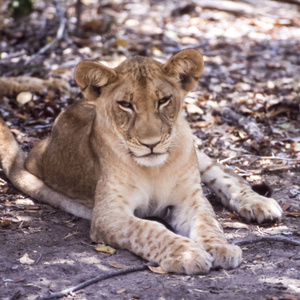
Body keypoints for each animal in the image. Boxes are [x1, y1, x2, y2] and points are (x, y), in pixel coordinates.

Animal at [0, 48, 282, 274]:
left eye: (163, 101)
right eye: (126, 104)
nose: (151, 143)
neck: (154, 169)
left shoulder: (190, 200)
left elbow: (208, 223)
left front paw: (221, 247)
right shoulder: (109, 215)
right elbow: (149, 229)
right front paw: (187, 254)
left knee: (225, 175)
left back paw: (260, 204)